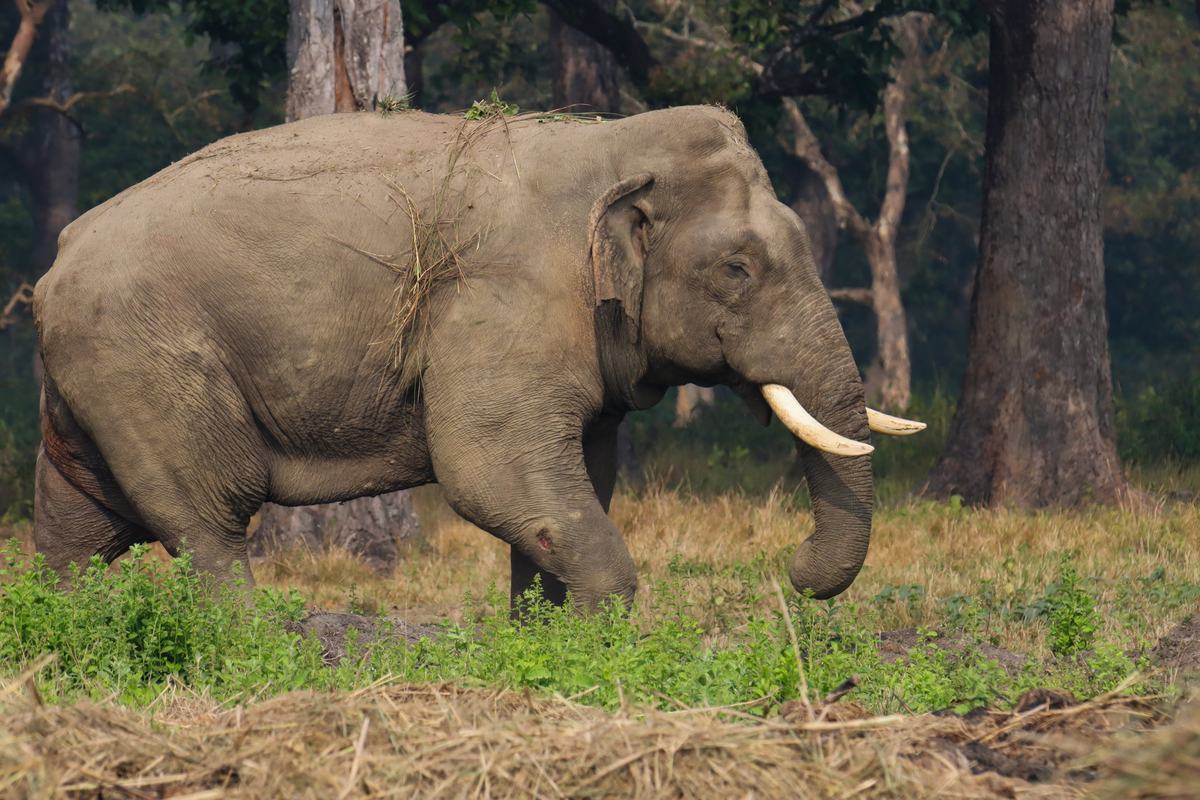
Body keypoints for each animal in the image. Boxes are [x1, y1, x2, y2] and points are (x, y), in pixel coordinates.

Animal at [32, 105, 923, 609]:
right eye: (737, 270)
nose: (793, 574)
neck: (607, 147)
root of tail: (53, 265)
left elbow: (574, 481)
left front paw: (543, 643)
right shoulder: (507, 300)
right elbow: (492, 471)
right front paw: (600, 648)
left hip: (96, 381)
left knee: (79, 527)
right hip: (144, 361)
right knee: (209, 516)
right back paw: (259, 655)